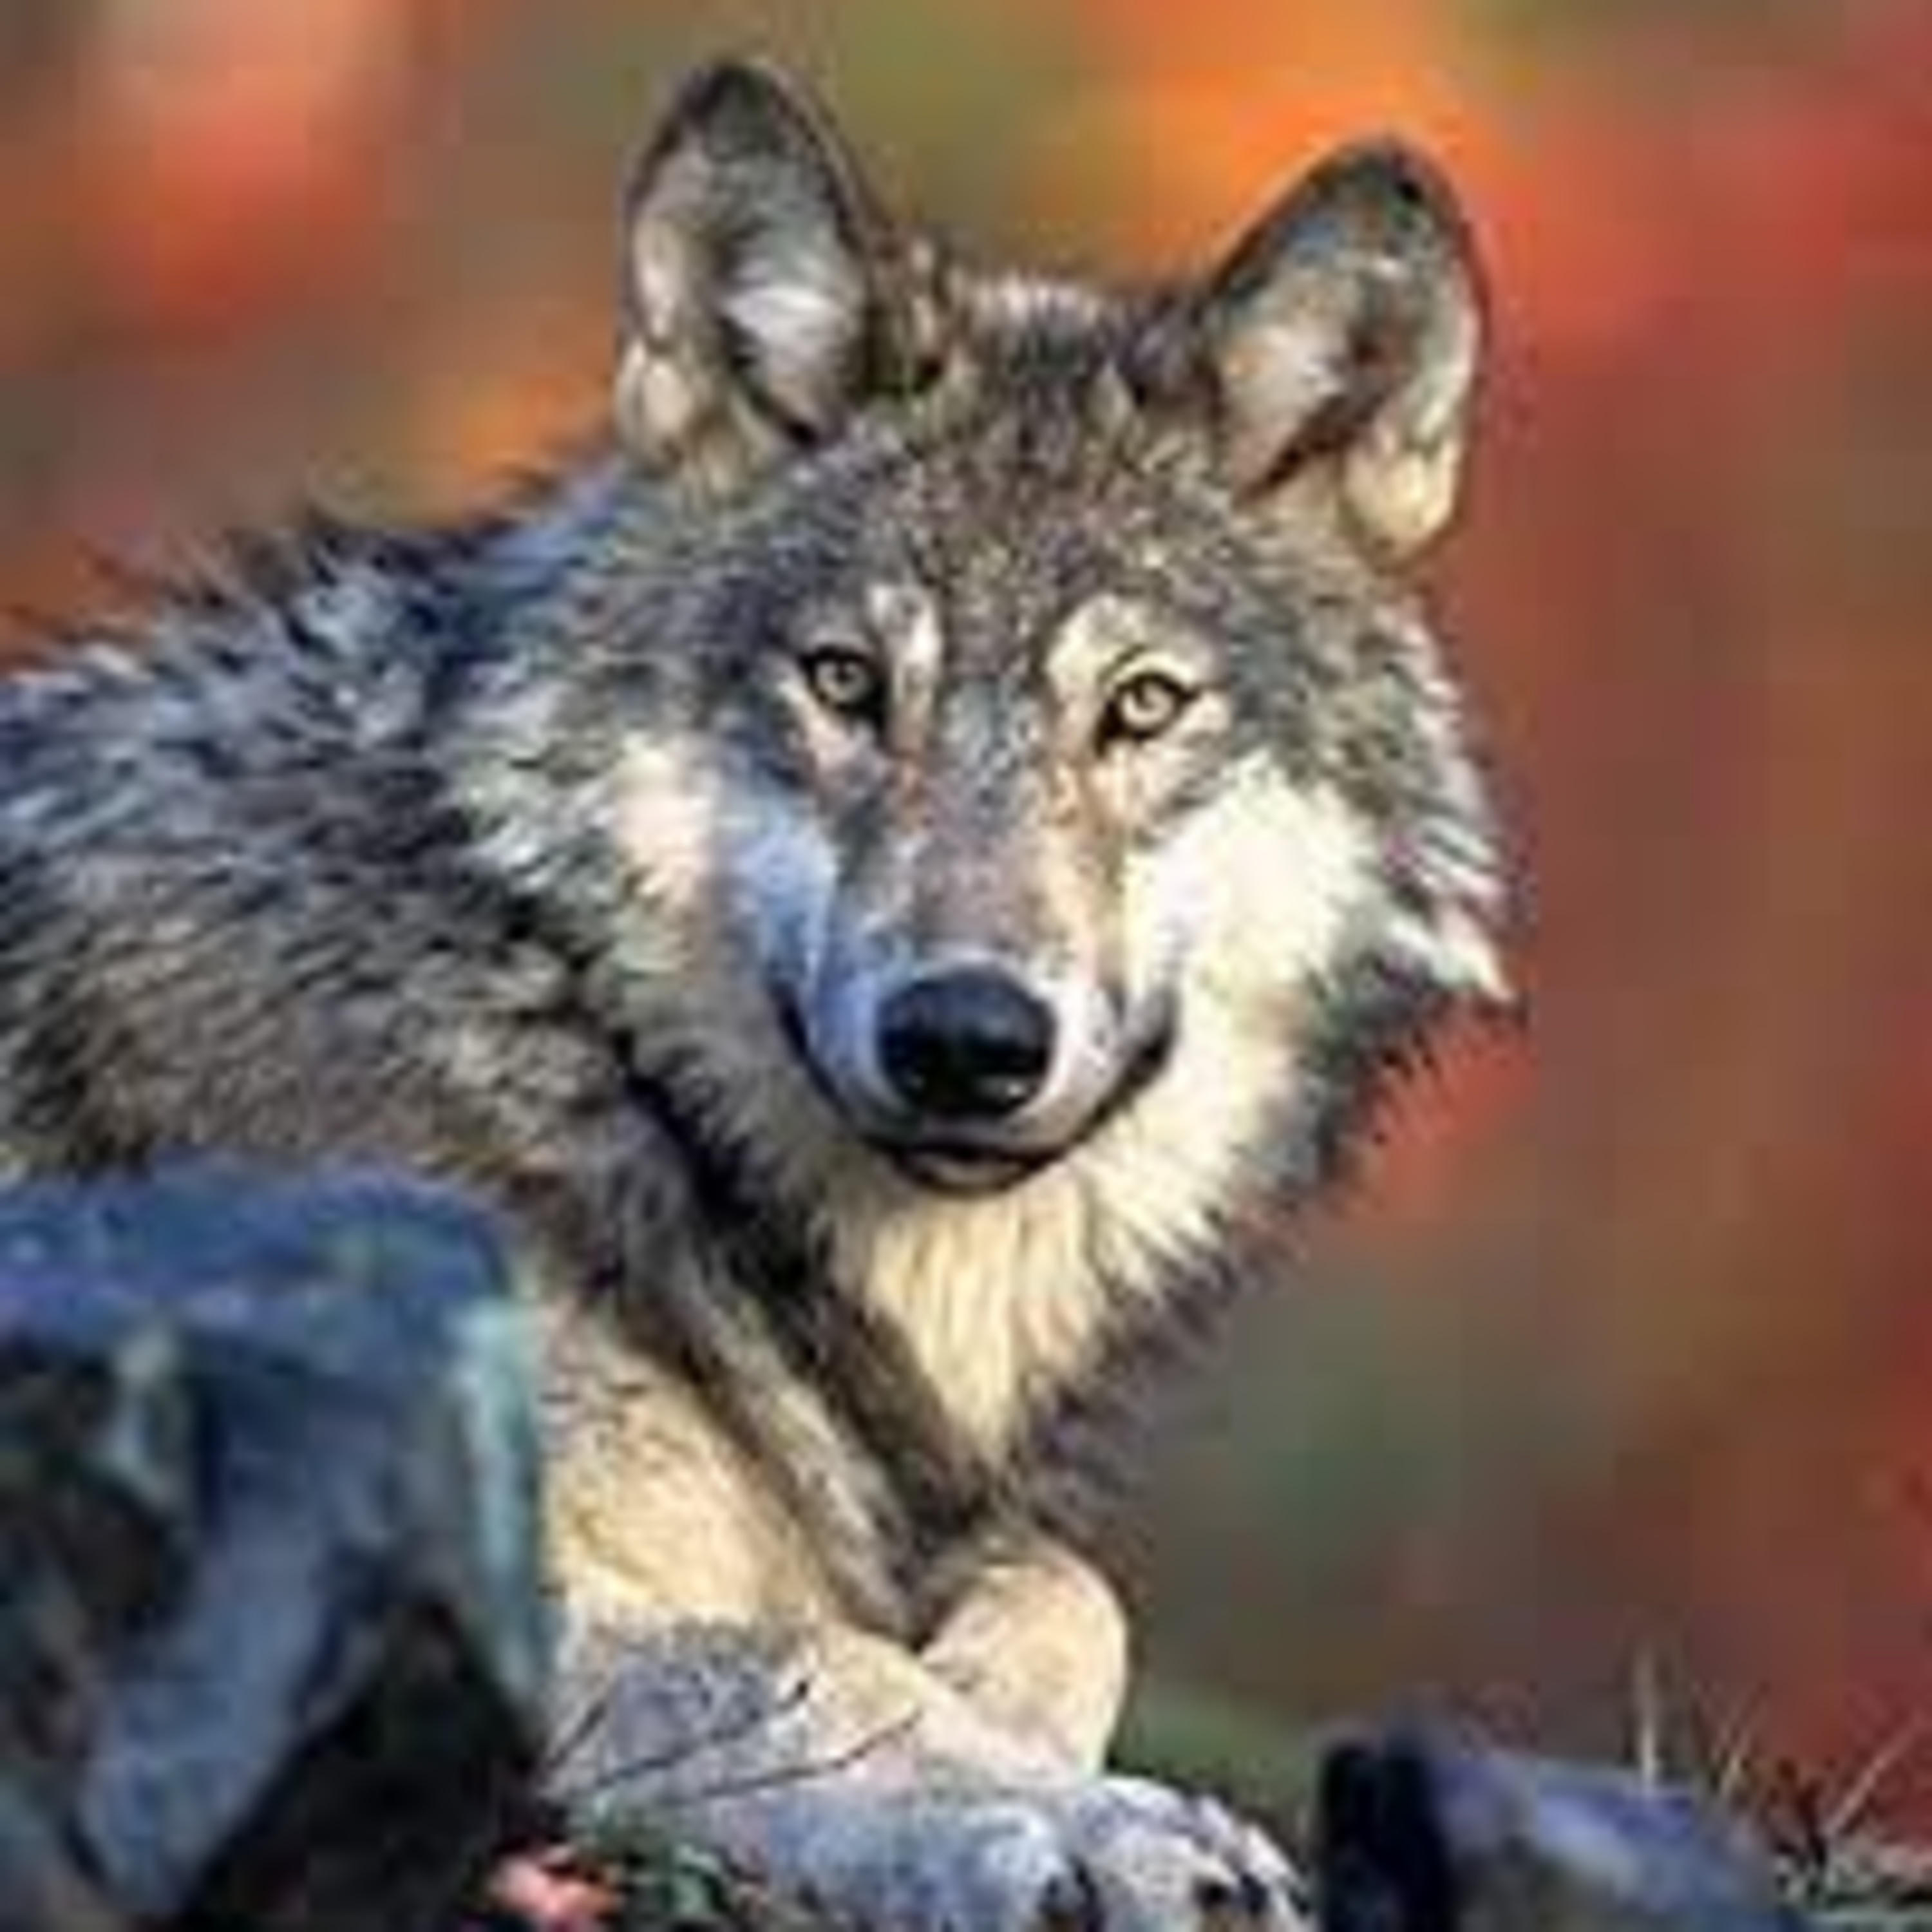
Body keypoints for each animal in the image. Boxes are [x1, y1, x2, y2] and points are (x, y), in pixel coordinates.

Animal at [0, 57, 1508, 1932]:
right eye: (846, 683)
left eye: (1143, 707)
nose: (965, 1039)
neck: (579, 1042)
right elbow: (816, 1666)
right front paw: (1075, 1818)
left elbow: (1068, 1588)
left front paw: (1008, 1714)